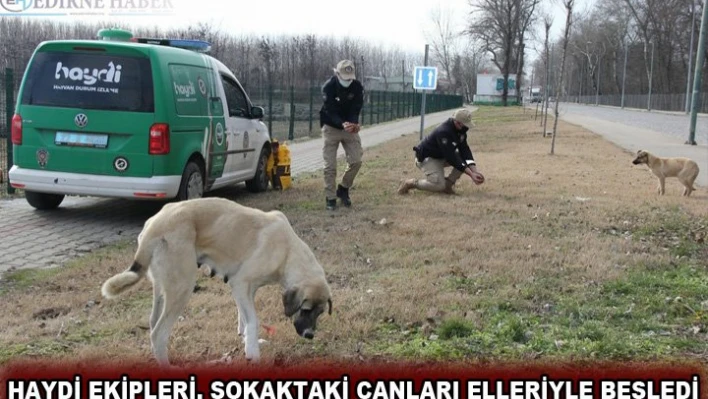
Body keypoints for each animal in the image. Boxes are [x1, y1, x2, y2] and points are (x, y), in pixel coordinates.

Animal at [101, 198, 332, 368]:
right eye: (305, 309)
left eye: (320, 313)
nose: (310, 335)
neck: (287, 251)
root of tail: (155, 225)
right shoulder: (241, 283)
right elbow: (253, 321)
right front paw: (253, 353)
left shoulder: (243, 289)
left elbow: (244, 319)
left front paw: (247, 341)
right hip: (182, 288)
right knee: (158, 333)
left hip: (162, 288)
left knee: (152, 324)